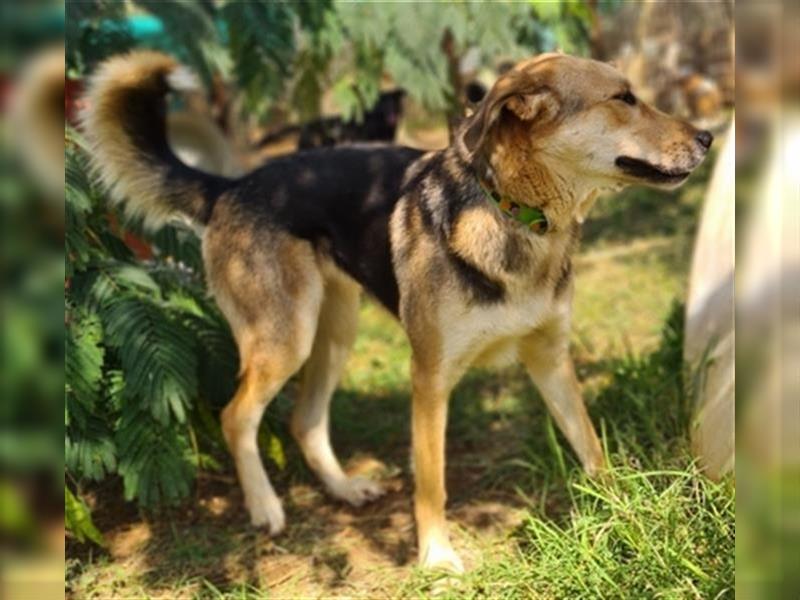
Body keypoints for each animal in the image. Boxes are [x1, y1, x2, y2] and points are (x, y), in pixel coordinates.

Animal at [83, 49, 712, 568]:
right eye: (623, 98)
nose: (708, 137)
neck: (511, 212)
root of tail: (229, 187)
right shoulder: (429, 378)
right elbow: (431, 480)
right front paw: (435, 557)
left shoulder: (550, 359)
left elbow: (589, 444)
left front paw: (624, 509)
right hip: (286, 338)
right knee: (238, 415)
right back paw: (266, 508)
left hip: (335, 332)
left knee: (304, 418)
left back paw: (343, 489)